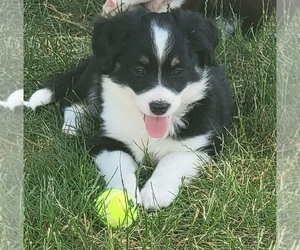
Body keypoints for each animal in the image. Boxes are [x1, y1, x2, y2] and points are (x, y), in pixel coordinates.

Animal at [25, 8, 232, 209]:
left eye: (178, 71)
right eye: (139, 71)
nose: (159, 107)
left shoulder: (205, 145)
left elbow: (173, 159)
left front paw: (156, 193)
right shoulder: (108, 141)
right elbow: (121, 167)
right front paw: (125, 196)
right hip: (94, 75)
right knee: (73, 100)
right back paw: (73, 127)